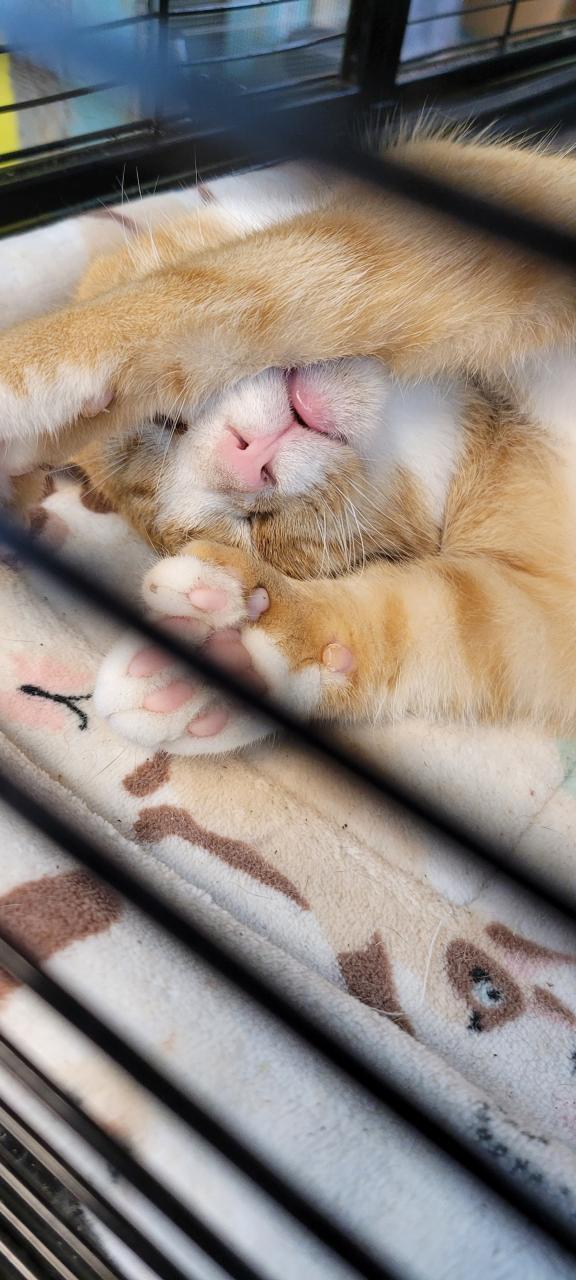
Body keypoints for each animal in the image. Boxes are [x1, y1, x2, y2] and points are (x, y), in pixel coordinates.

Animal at [2, 130, 576, 751]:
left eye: (166, 420)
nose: (246, 461)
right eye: (252, 525)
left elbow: (231, 282)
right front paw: (234, 645)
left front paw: (23, 368)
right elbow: (441, 623)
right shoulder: (536, 611)